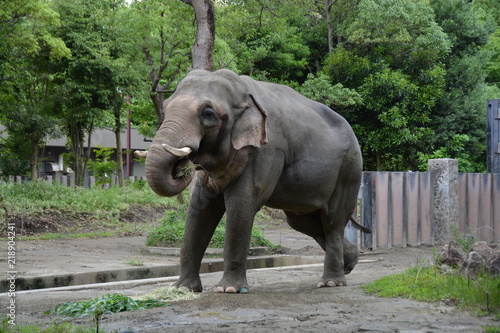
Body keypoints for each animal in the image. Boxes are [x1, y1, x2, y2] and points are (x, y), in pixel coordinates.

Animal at [145, 68, 364, 292]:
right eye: (165, 107)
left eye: (208, 114)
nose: (182, 165)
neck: (242, 92)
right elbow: (200, 208)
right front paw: (182, 289)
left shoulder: (267, 150)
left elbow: (241, 204)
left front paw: (229, 290)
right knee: (303, 221)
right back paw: (350, 262)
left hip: (349, 168)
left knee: (332, 220)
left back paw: (331, 282)